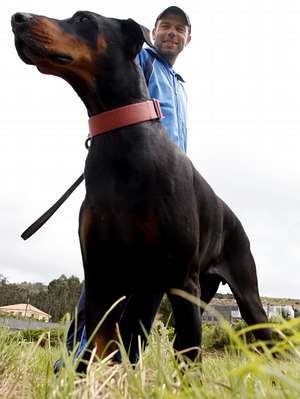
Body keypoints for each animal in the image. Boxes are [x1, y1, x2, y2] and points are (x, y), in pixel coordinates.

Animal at [11, 10, 272, 368]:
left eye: (83, 18)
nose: (16, 18)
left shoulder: (180, 281)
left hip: (244, 296)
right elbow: (98, 350)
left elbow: (189, 356)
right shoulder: (102, 277)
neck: (123, 138)